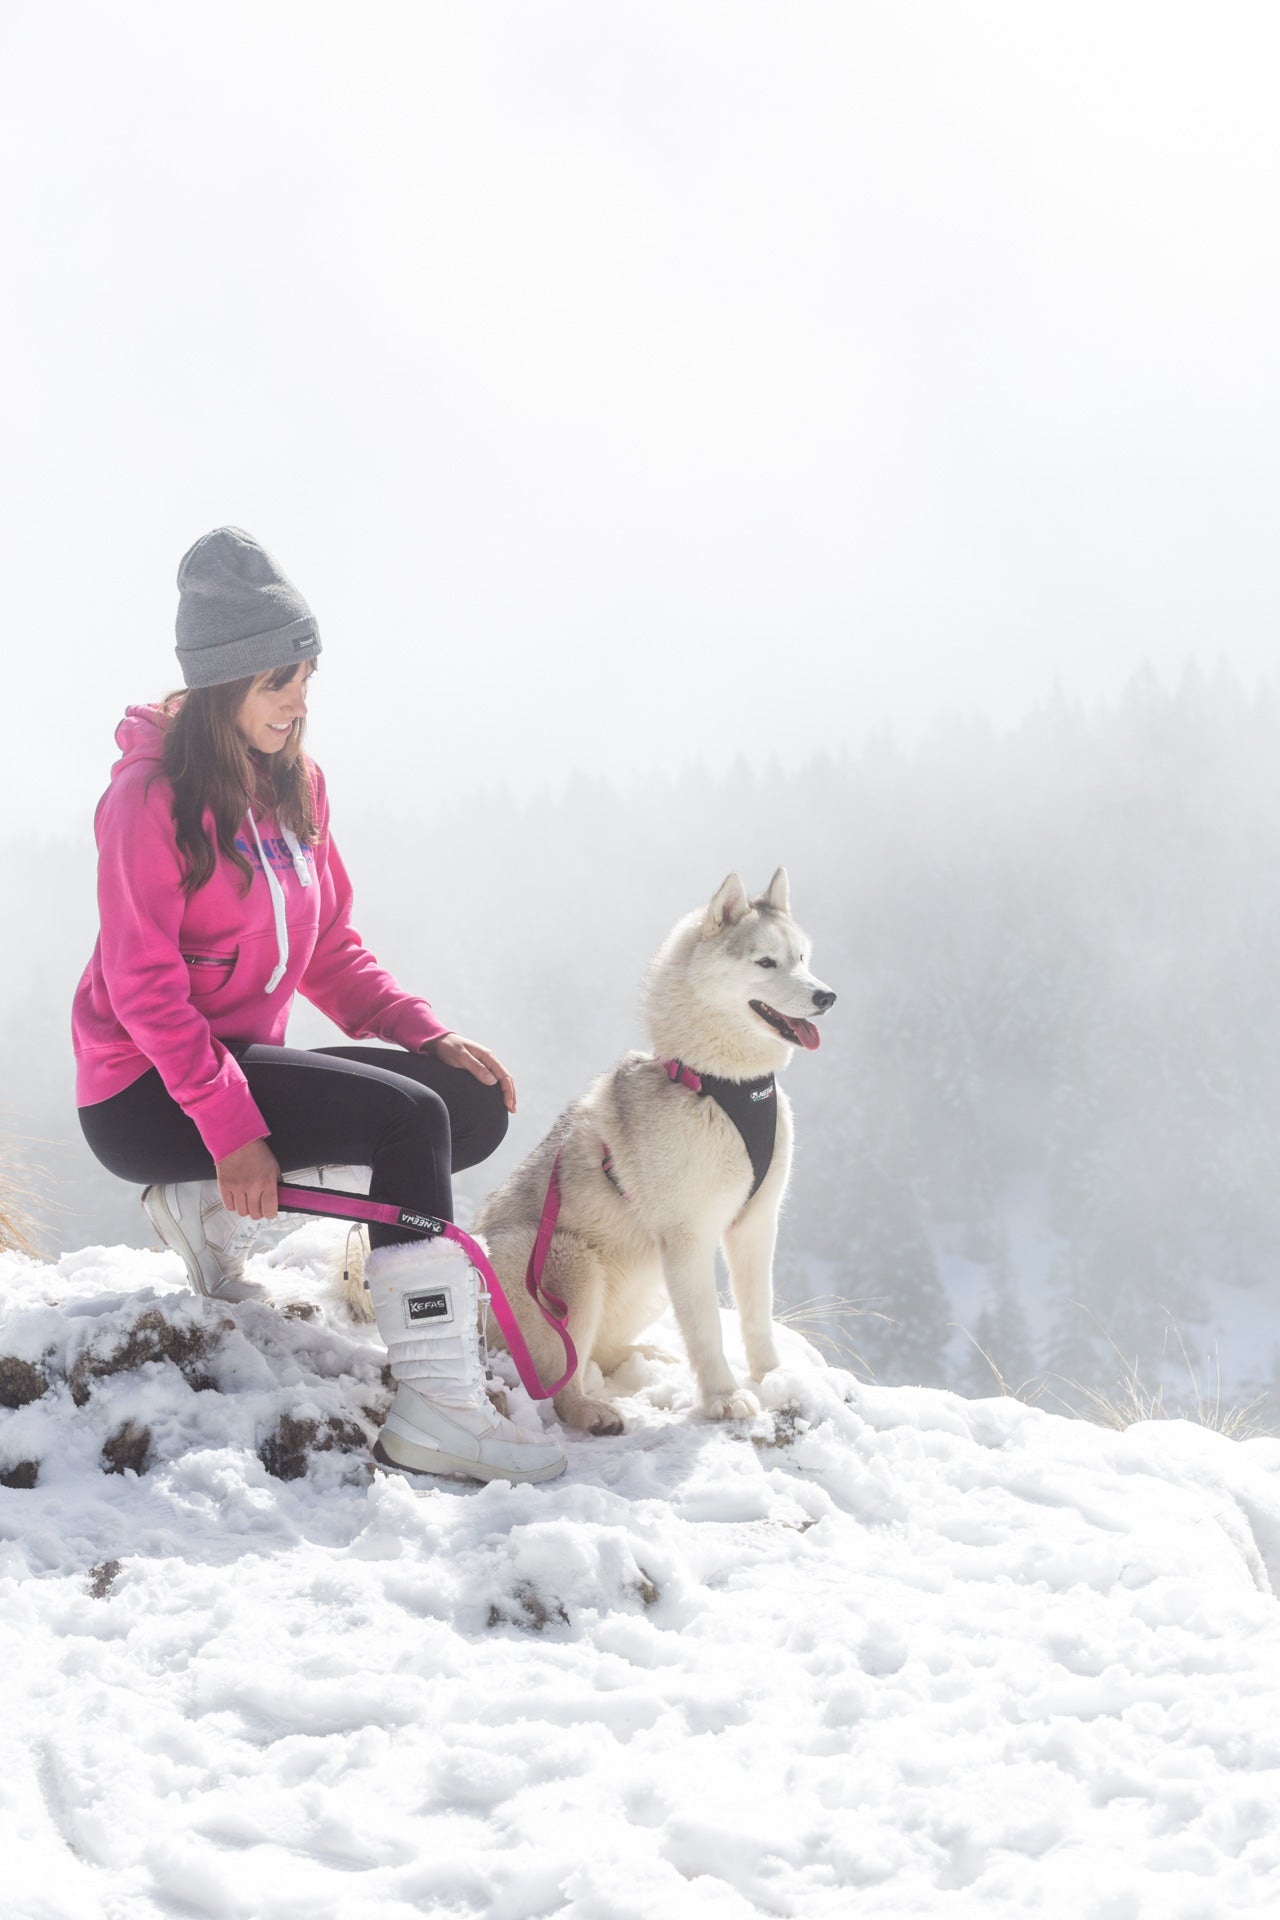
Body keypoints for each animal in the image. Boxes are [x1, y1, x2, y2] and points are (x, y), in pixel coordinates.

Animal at [475, 867, 836, 1428]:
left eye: (802, 958)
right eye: (765, 962)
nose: (827, 996)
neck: (723, 1086)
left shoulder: (756, 1222)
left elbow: (758, 1314)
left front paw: (774, 1378)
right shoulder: (687, 1235)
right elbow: (707, 1327)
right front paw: (725, 1398)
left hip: (648, 1286)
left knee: (599, 1351)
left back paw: (647, 1358)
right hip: (568, 1262)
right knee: (558, 1383)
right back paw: (591, 1410)